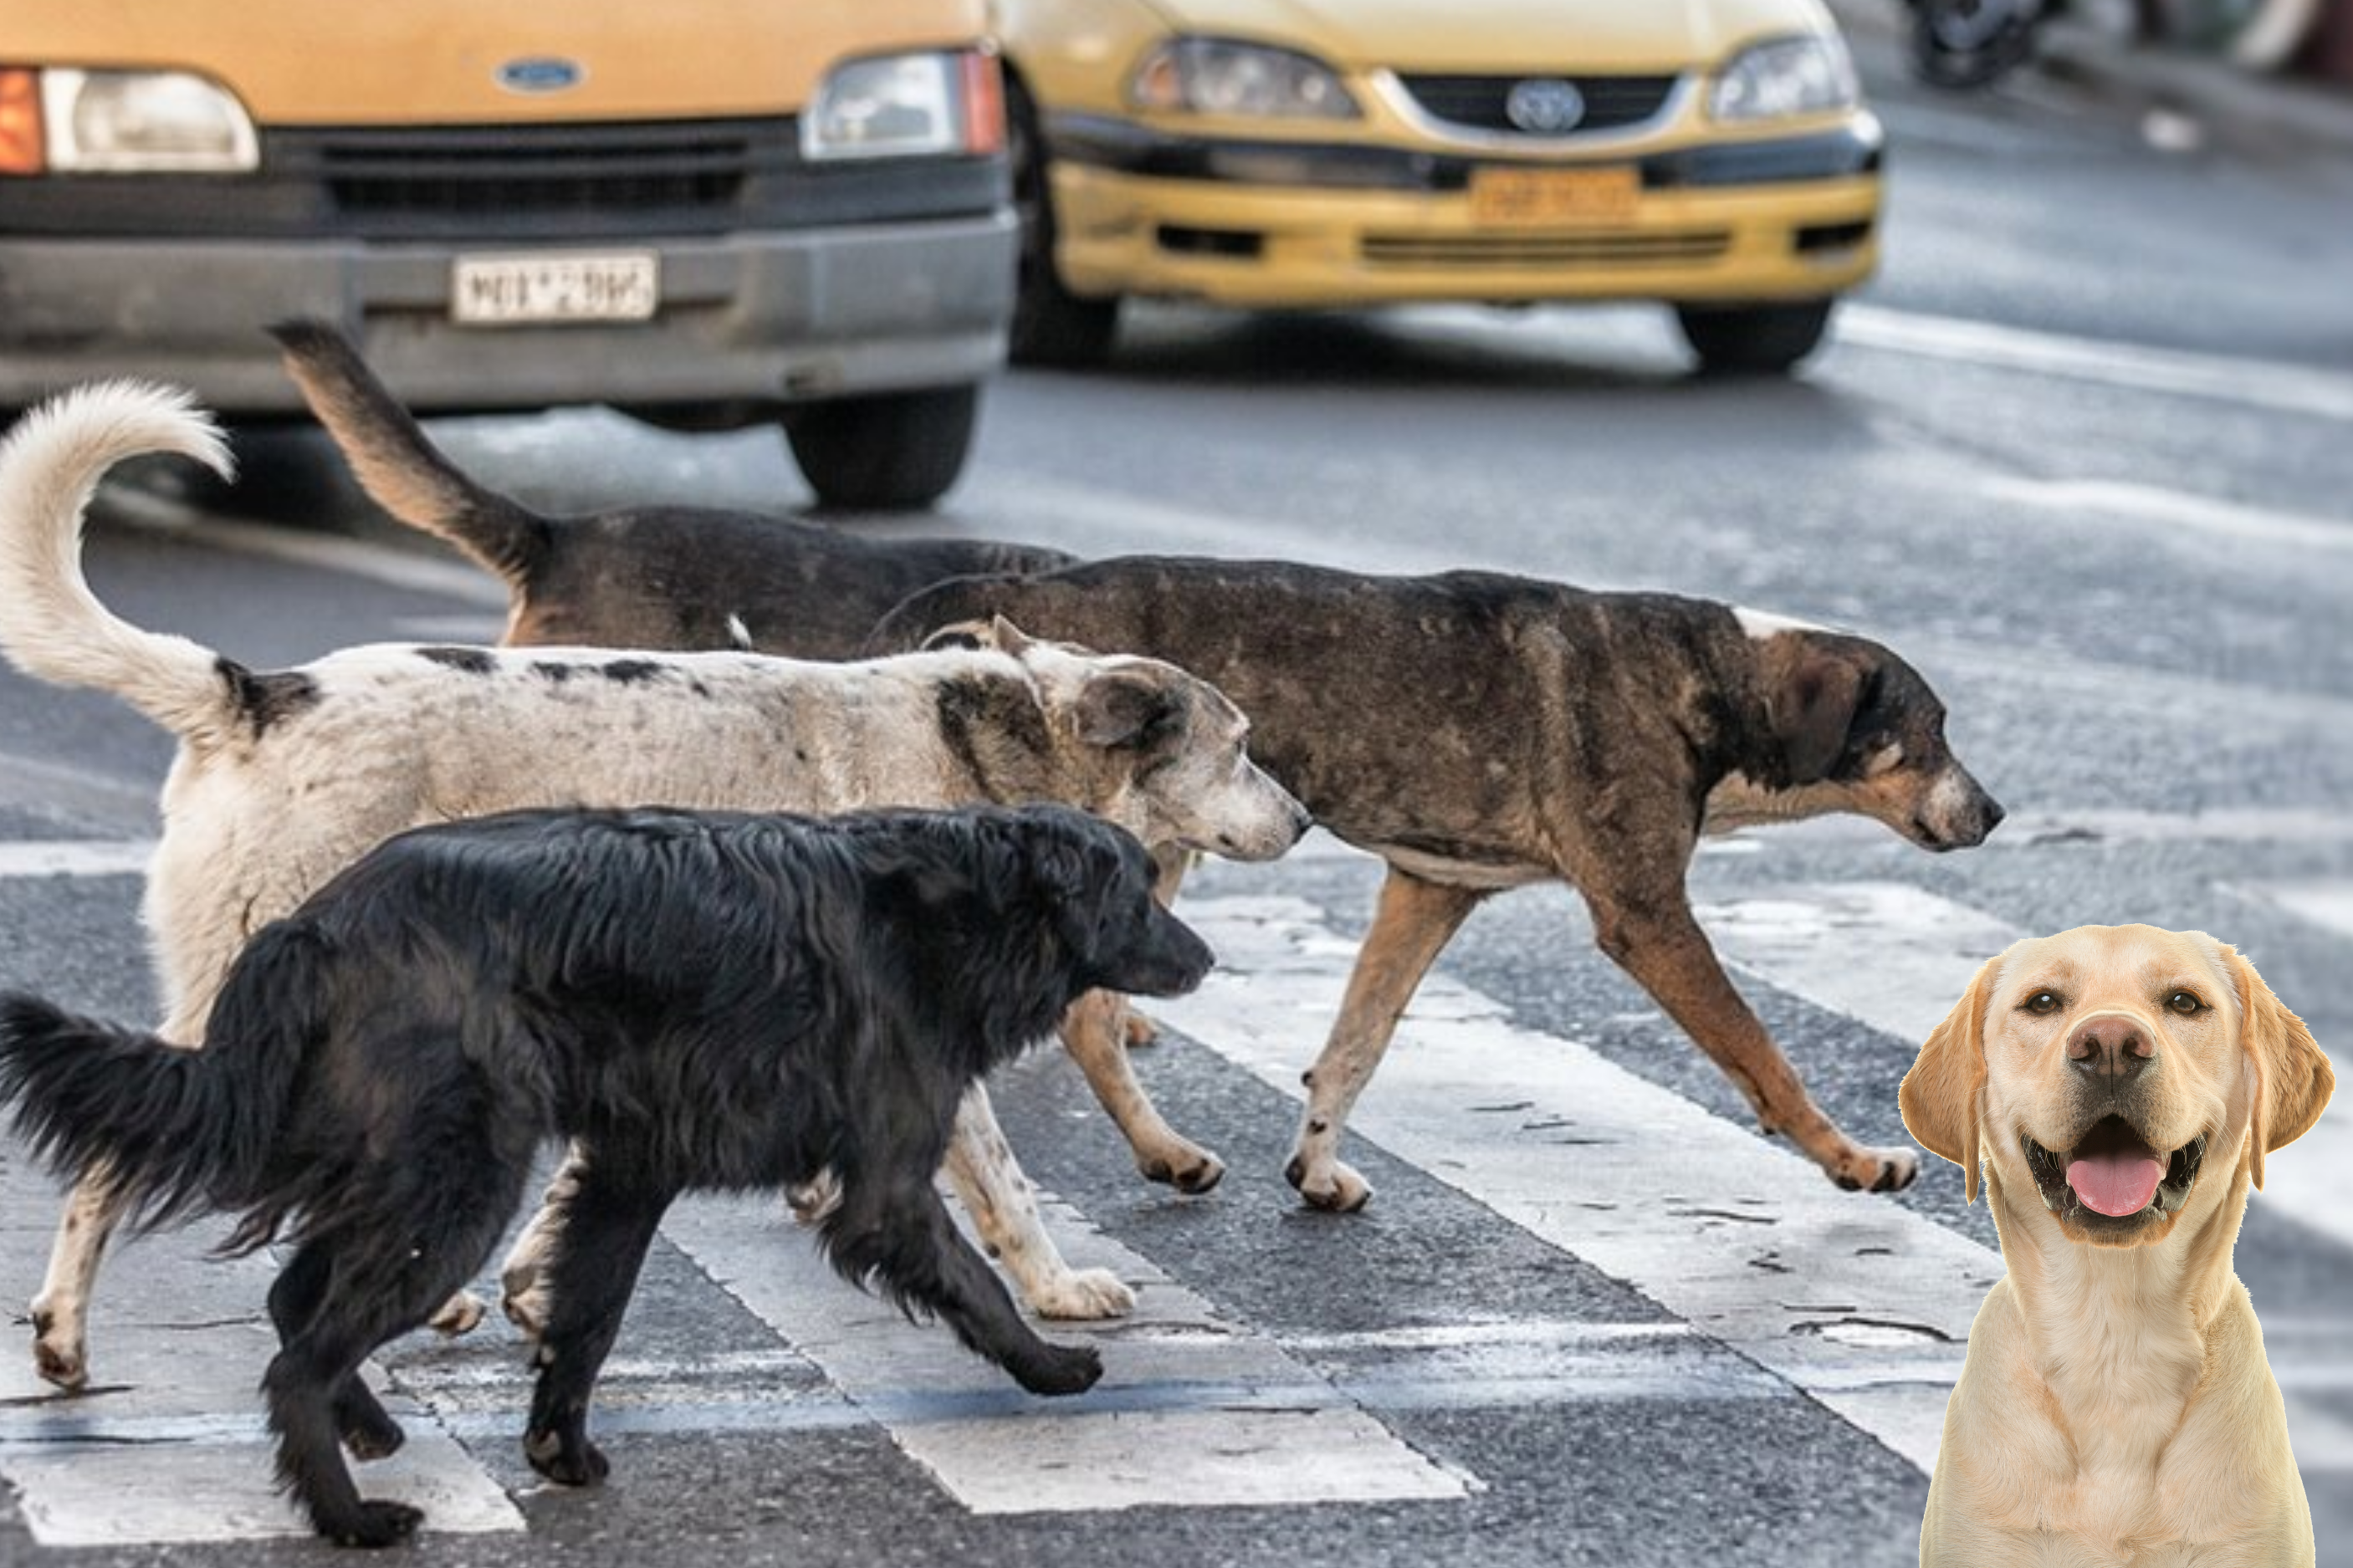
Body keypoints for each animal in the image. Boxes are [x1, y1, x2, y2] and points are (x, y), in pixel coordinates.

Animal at [0, 386, 1308, 1392]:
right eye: (1242, 746)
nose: (1303, 818)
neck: (994, 758)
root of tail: (260, 692)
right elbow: (1005, 1180)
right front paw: (1057, 1288)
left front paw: (532, 1285)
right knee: (124, 1155)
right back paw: (65, 1336)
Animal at [0, 804, 1214, 1551]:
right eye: (1139, 892)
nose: (1207, 957)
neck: (957, 905)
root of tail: (319, 920)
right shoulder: (887, 1184)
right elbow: (977, 1282)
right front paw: (1050, 1365)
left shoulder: (630, 1172)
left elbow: (587, 1320)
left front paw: (559, 1448)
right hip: (460, 1179)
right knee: (299, 1351)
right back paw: (350, 1516)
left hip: (411, 1168)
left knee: (295, 1298)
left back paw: (371, 1429)